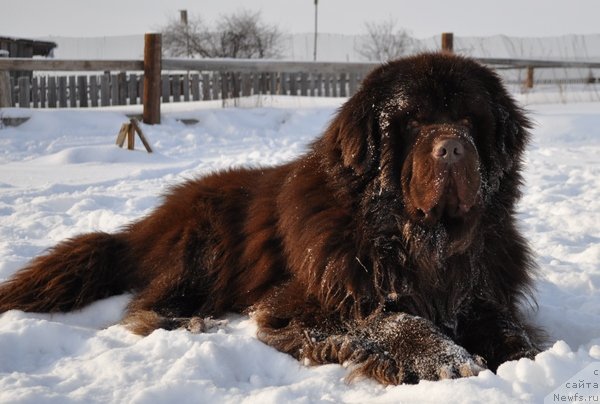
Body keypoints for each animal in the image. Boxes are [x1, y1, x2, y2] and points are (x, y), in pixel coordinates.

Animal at [0, 53, 540, 386]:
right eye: (411, 123)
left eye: (469, 121)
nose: (452, 148)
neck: (421, 240)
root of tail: (146, 224)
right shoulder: (308, 300)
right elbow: (389, 318)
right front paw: (446, 358)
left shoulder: (479, 287)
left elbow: (506, 328)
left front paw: (524, 359)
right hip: (205, 245)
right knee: (147, 305)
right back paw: (189, 322)